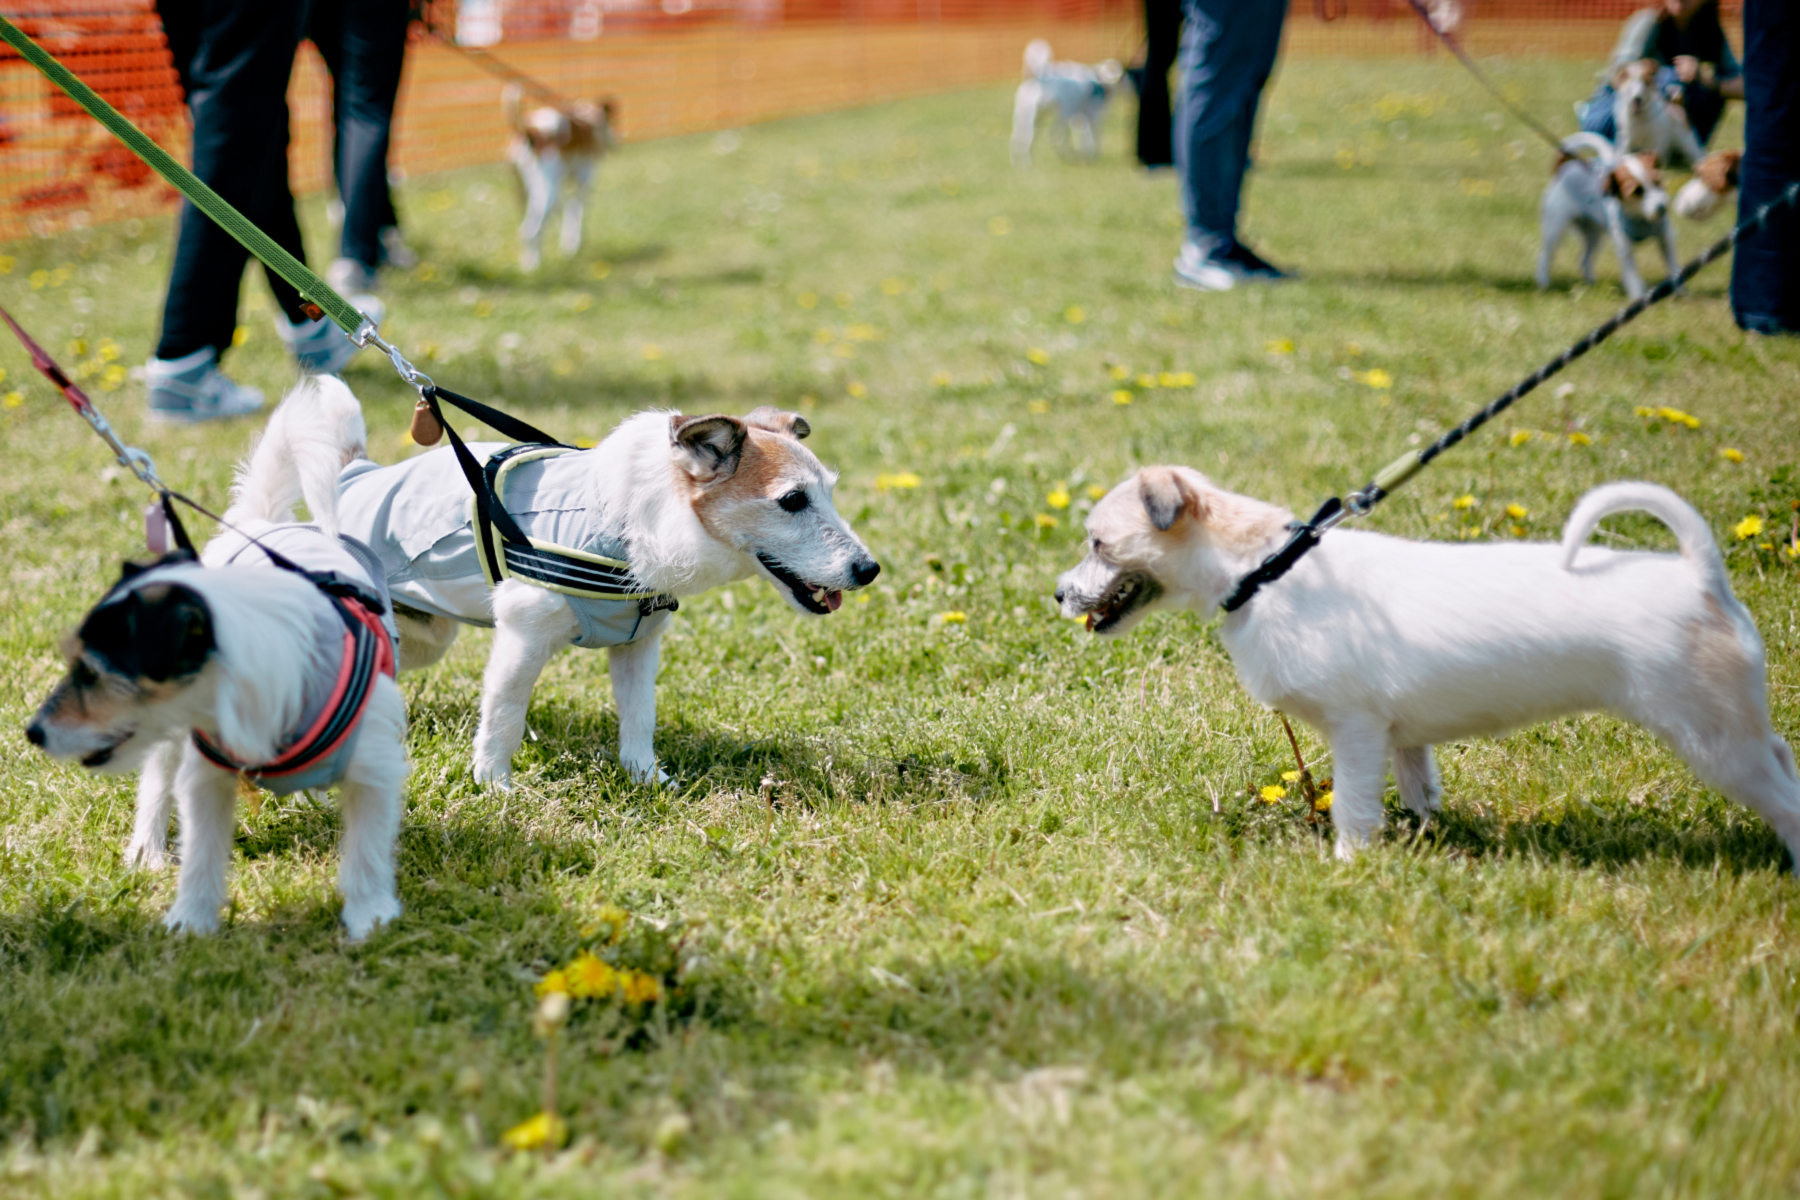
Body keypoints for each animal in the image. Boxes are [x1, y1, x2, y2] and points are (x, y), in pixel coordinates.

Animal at [257, 390, 882, 791]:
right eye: (793, 500)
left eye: (829, 492)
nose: (870, 569)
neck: (629, 524)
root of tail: (353, 475)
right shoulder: (523, 636)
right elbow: (505, 715)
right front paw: (494, 785)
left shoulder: (638, 646)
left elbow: (640, 719)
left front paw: (647, 778)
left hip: (422, 636)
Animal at [507, 83, 619, 271]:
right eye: (612, 122)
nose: (619, 141)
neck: (588, 121)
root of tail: (531, 131)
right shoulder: (583, 181)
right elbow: (576, 210)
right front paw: (573, 244)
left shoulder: (561, 186)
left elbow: (562, 210)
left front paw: (566, 242)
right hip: (547, 193)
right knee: (530, 230)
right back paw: (534, 266)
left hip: (530, 191)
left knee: (531, 228)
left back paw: (528, 262)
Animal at [1051, 467, 1800, 874]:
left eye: (1099, 544)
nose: (1057, 594)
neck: (1267, 570)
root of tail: (1700, 574)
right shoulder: (1402, 740)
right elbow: (1419, 790)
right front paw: (1422, 839)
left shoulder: (1354, 732)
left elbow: (1354, 805)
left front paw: (1350, 865)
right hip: (1733, 727)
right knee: (1783, 757)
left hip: (1711, 737)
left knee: (1784, 799)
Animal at [1540, 133, 1677, 302]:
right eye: (1637, 191)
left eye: (1657, 181)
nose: (1662, 208)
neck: (1640, 217)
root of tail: (1566, 169)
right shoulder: (1624, 248)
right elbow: (1632, 276)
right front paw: (1638, 297)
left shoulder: (1665, 238)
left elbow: (1674, 267)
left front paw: (1681, 290)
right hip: (1555, 228)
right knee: (1545, 255)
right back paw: (1543, 281)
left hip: (1594, 235)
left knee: (1585, 259)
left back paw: (1590, 282)